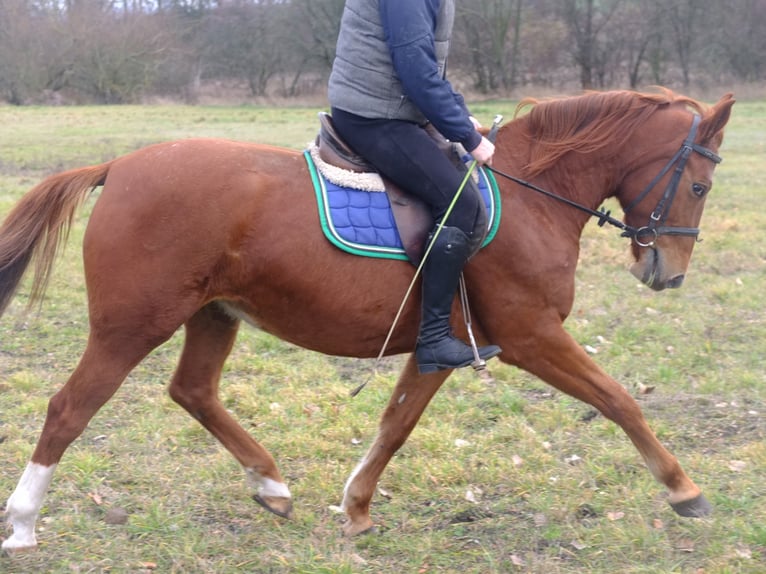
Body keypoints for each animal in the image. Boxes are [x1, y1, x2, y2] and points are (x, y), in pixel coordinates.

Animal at [0, 88, 736, 552]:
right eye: (700, 186)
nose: (668, 272)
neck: (531, 196)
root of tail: (119, 165)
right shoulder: (532, 335)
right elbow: (618, 400)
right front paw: (685, 491)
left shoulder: (446, 345)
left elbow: (395, 424)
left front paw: (354, 507)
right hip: (131, 327)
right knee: (70, 407)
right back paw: (24, 522)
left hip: (212, 315)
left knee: (194, 391)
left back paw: (270, 484)